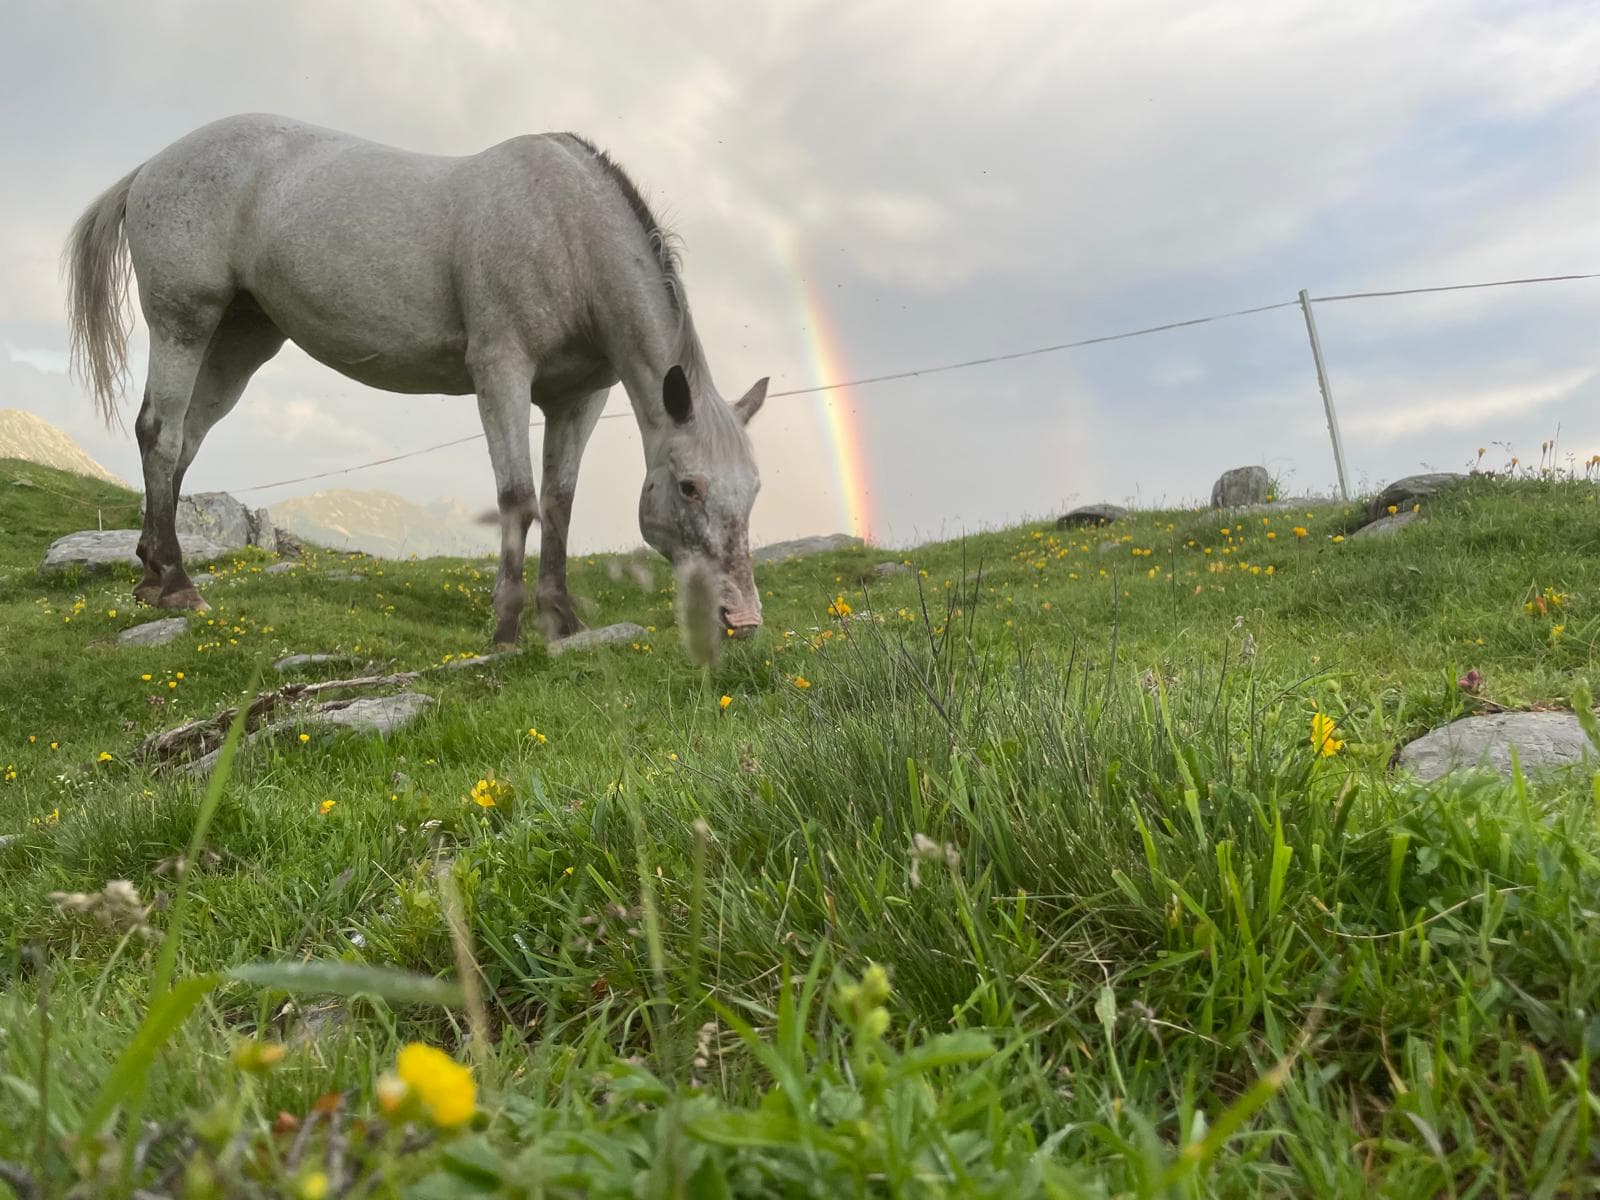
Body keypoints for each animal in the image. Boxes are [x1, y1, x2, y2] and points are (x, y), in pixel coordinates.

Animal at [65, 113, 768, 646]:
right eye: (690, 486)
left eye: (754, 488)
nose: (743, 616)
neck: (564, 230)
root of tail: (152, 166)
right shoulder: (501, 372)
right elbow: (517, 496)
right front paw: (506, 627)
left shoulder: (579, 398)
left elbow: (559, 503)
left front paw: (562, 620)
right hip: (183, 324)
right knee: (160, 434)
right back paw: (176, 586)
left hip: (238, 343)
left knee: (184, 441)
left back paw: (151, 574)